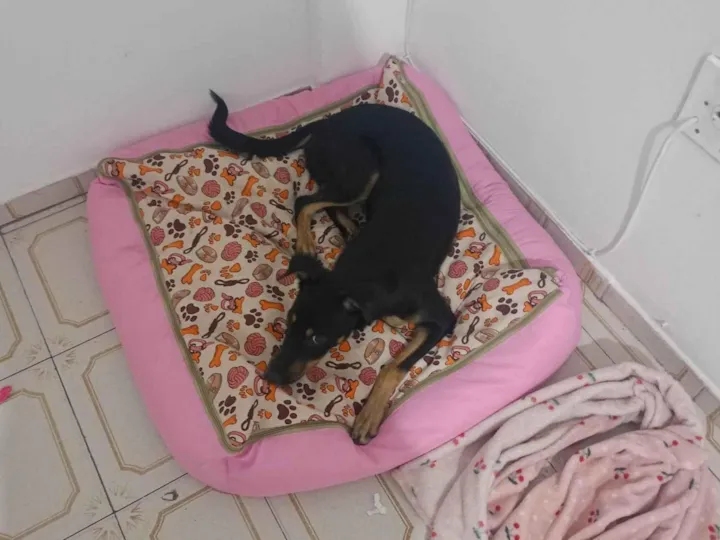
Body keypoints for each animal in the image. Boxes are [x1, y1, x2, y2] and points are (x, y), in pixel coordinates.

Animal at [209, 92, 460, 444]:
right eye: (290, 321)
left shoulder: (442, 318)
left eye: (317, 338)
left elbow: (394, 366)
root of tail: (329, 121)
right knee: (307, 202)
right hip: (360, 170)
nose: (270, 376)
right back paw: (310, 242)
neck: (364, 270)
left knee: (316, 203)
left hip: (361, 173)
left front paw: (368, 416)